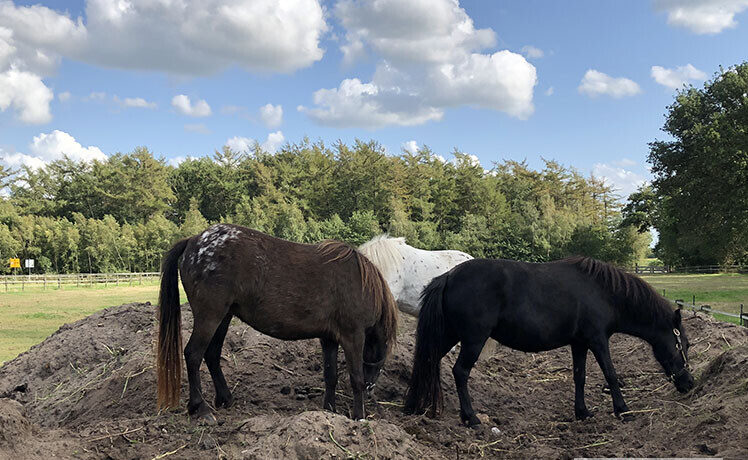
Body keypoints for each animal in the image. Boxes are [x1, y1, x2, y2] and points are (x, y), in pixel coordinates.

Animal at [156, 225, 398, 422]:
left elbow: (331, 375)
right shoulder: (353, 336)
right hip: (210, 316)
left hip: (223, 317)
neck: (361, 283)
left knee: (212, 354)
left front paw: (329, 410)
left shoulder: (329, 338)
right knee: (193, 354)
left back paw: (225, 398)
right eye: (381, 360)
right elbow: (356, 377)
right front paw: (359, 416)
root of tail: (194, 240)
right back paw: (201, 408)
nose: (371, 391)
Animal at [404, 256, 696, 426]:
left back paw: (416, 406)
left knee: (428, 361)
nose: (689, 383)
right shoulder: (598, 340)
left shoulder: (580, 343)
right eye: (684, 345)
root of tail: (449, 276)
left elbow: (580, 377)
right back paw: (471, 417)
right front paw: (623, 410)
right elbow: (611, 375)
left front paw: (582, 412)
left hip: (449, 336)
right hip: (473, 340)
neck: (604, 292)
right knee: (460, 372)